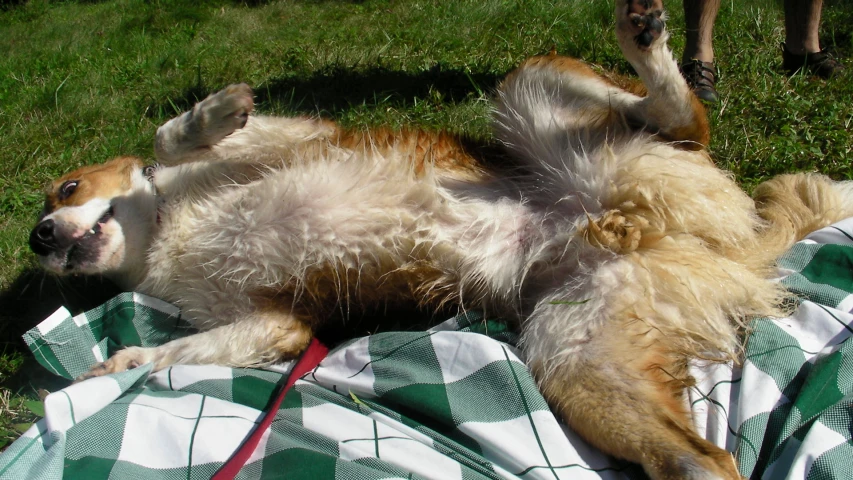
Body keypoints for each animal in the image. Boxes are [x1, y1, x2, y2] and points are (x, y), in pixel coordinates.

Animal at [26, 1, 852, 478]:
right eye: (47, 208)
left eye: (65, 189)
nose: (37, 237)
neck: (169, 231)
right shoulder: (271, 322)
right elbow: (173, 352)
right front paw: (114, 368)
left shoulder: (294, 139)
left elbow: (168, 139)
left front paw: (211, 111)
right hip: (579, 355)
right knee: (703, 463)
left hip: (544, 98)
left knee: (684, 118)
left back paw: (645, 39)